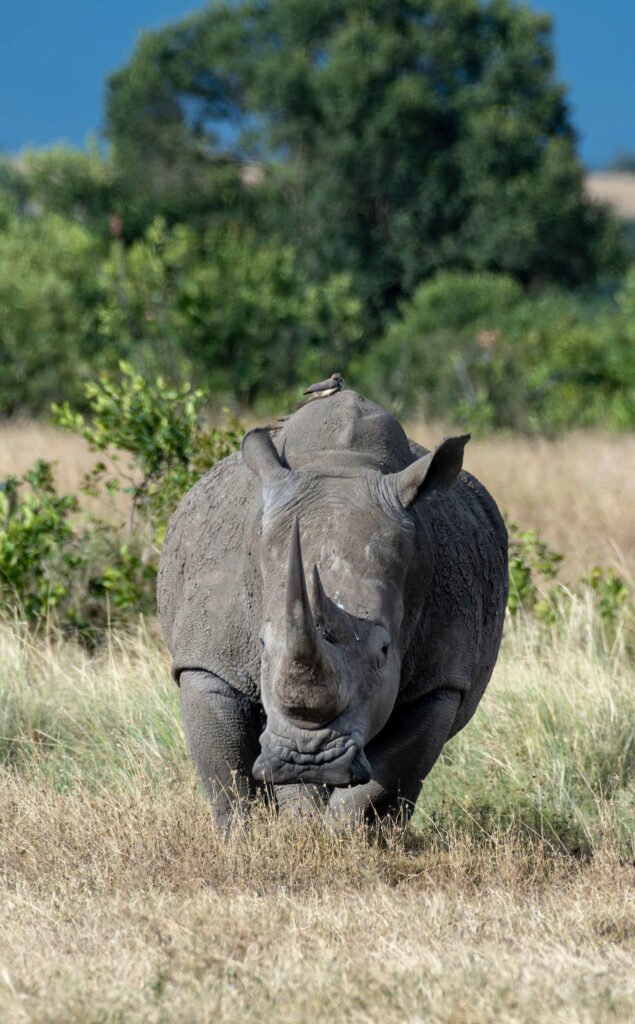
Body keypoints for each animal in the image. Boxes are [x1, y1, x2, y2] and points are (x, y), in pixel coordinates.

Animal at [157, 387, 505, 827]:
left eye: (384, 651)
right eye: (261, 645)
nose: (308, 758)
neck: (344, 465)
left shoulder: (440, 681)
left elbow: (386, 776)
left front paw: (343, 835)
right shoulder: (208, 661)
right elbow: (229, 775)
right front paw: (258, 835)